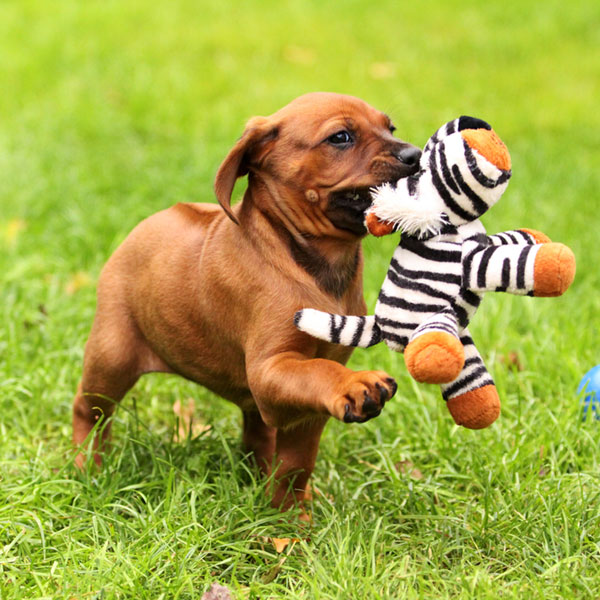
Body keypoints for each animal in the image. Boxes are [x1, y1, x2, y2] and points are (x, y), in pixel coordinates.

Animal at [74, 92, 422, 510]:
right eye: (340, 137)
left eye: (391, 128)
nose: (416, 155)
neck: (312, 262)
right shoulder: (272, 366)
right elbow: (317, 372)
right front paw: (355, 382)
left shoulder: (304, 406)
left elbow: (297, 464)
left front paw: (288, 518)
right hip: (112, 356)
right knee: (90, 411)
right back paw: (87, 466)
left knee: (259, 433)